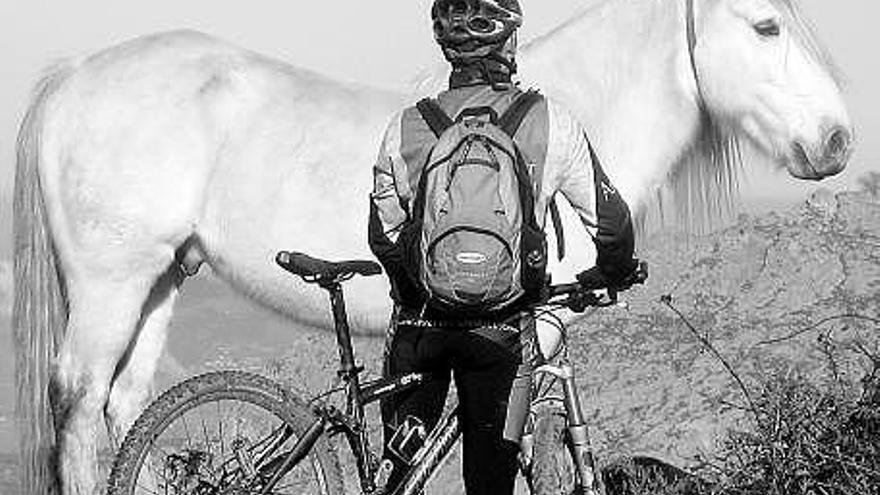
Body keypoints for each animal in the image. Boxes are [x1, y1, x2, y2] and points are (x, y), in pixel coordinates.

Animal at [13, 0, 848, 494]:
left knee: (124, 403)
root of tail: (76, 74)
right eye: (767, 27)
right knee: (79, 399)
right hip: (110, 282)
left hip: (163, 277)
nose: (837, 140)